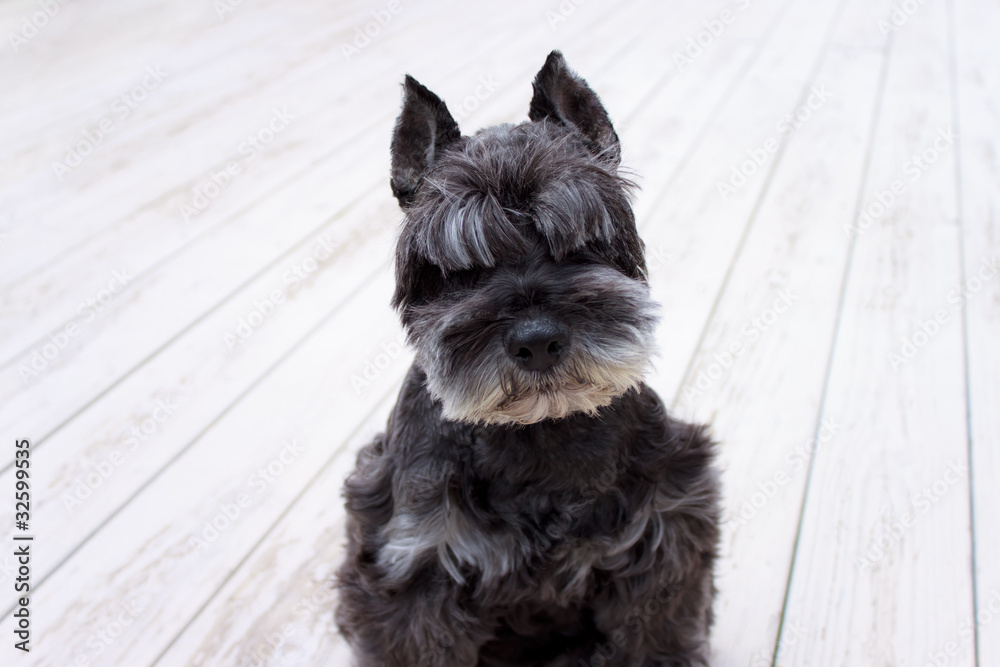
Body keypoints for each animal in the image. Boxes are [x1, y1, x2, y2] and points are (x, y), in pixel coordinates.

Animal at [336, 49, 720, 664]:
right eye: (461, 270)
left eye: (582, 244)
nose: (537, 341)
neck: (537, 432)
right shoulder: (417, 565)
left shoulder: (664, 532)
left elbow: (656, 638)